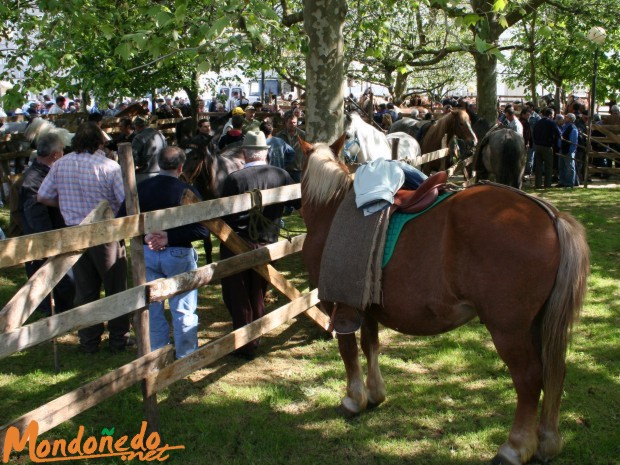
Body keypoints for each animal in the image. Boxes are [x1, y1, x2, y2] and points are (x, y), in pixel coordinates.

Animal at [300, 137, 592, 464]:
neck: (330, 207)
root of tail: (551, 217)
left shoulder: (336, 303)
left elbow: (348, 351)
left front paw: (354, 399)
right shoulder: (367, 307)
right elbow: (370, 346)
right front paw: (375, 394)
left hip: (509, 330)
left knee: (529, 379)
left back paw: (515, 447)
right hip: (539, 325)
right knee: (556, 371)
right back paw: (547, 442)